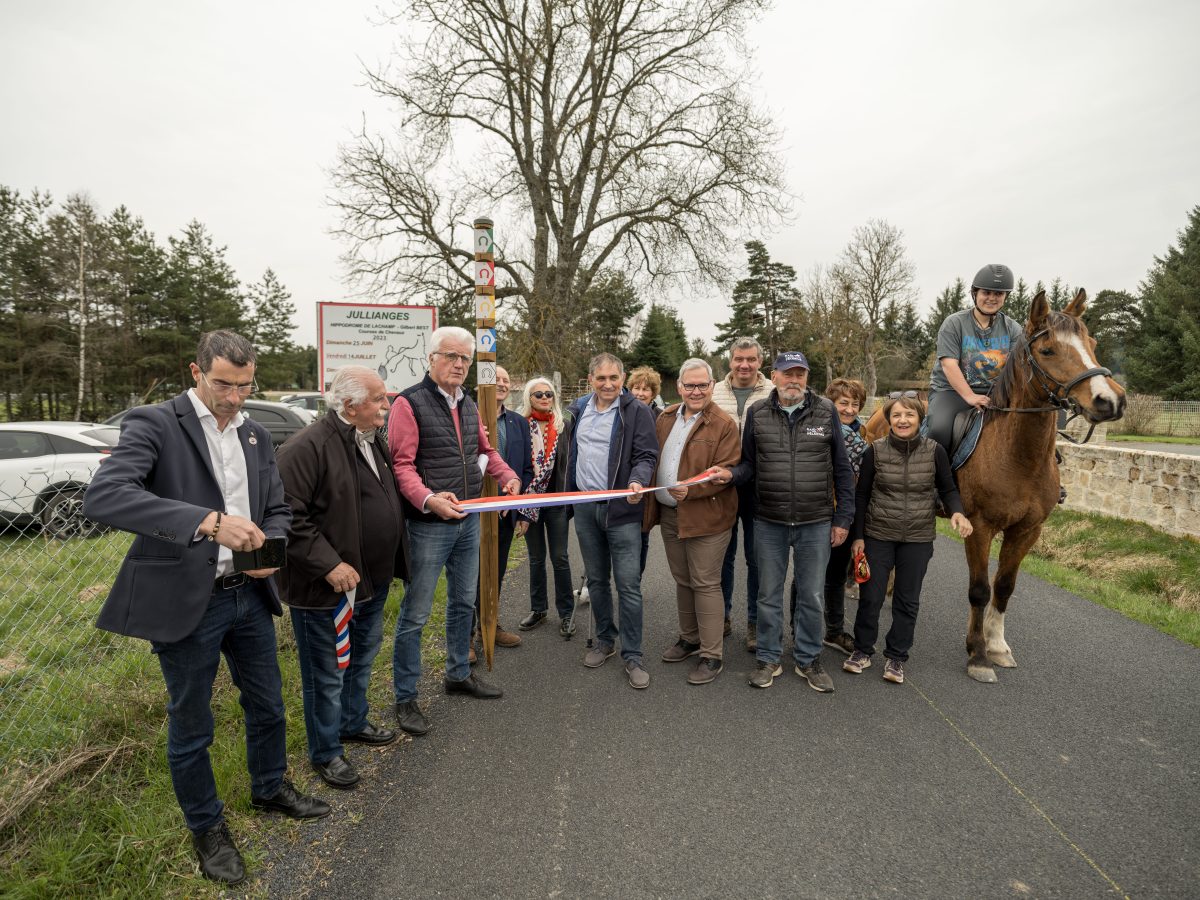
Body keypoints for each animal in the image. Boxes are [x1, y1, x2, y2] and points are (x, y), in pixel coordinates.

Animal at [945, 292, 1123, 681]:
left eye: (1092, 343)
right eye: (1048, 350)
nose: (1111, 401)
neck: (1018, 458)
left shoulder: (1027, 530)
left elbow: (1004, 587)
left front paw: (996, 646)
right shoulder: (978, 527)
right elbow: (979, 590)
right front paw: (978, 654)